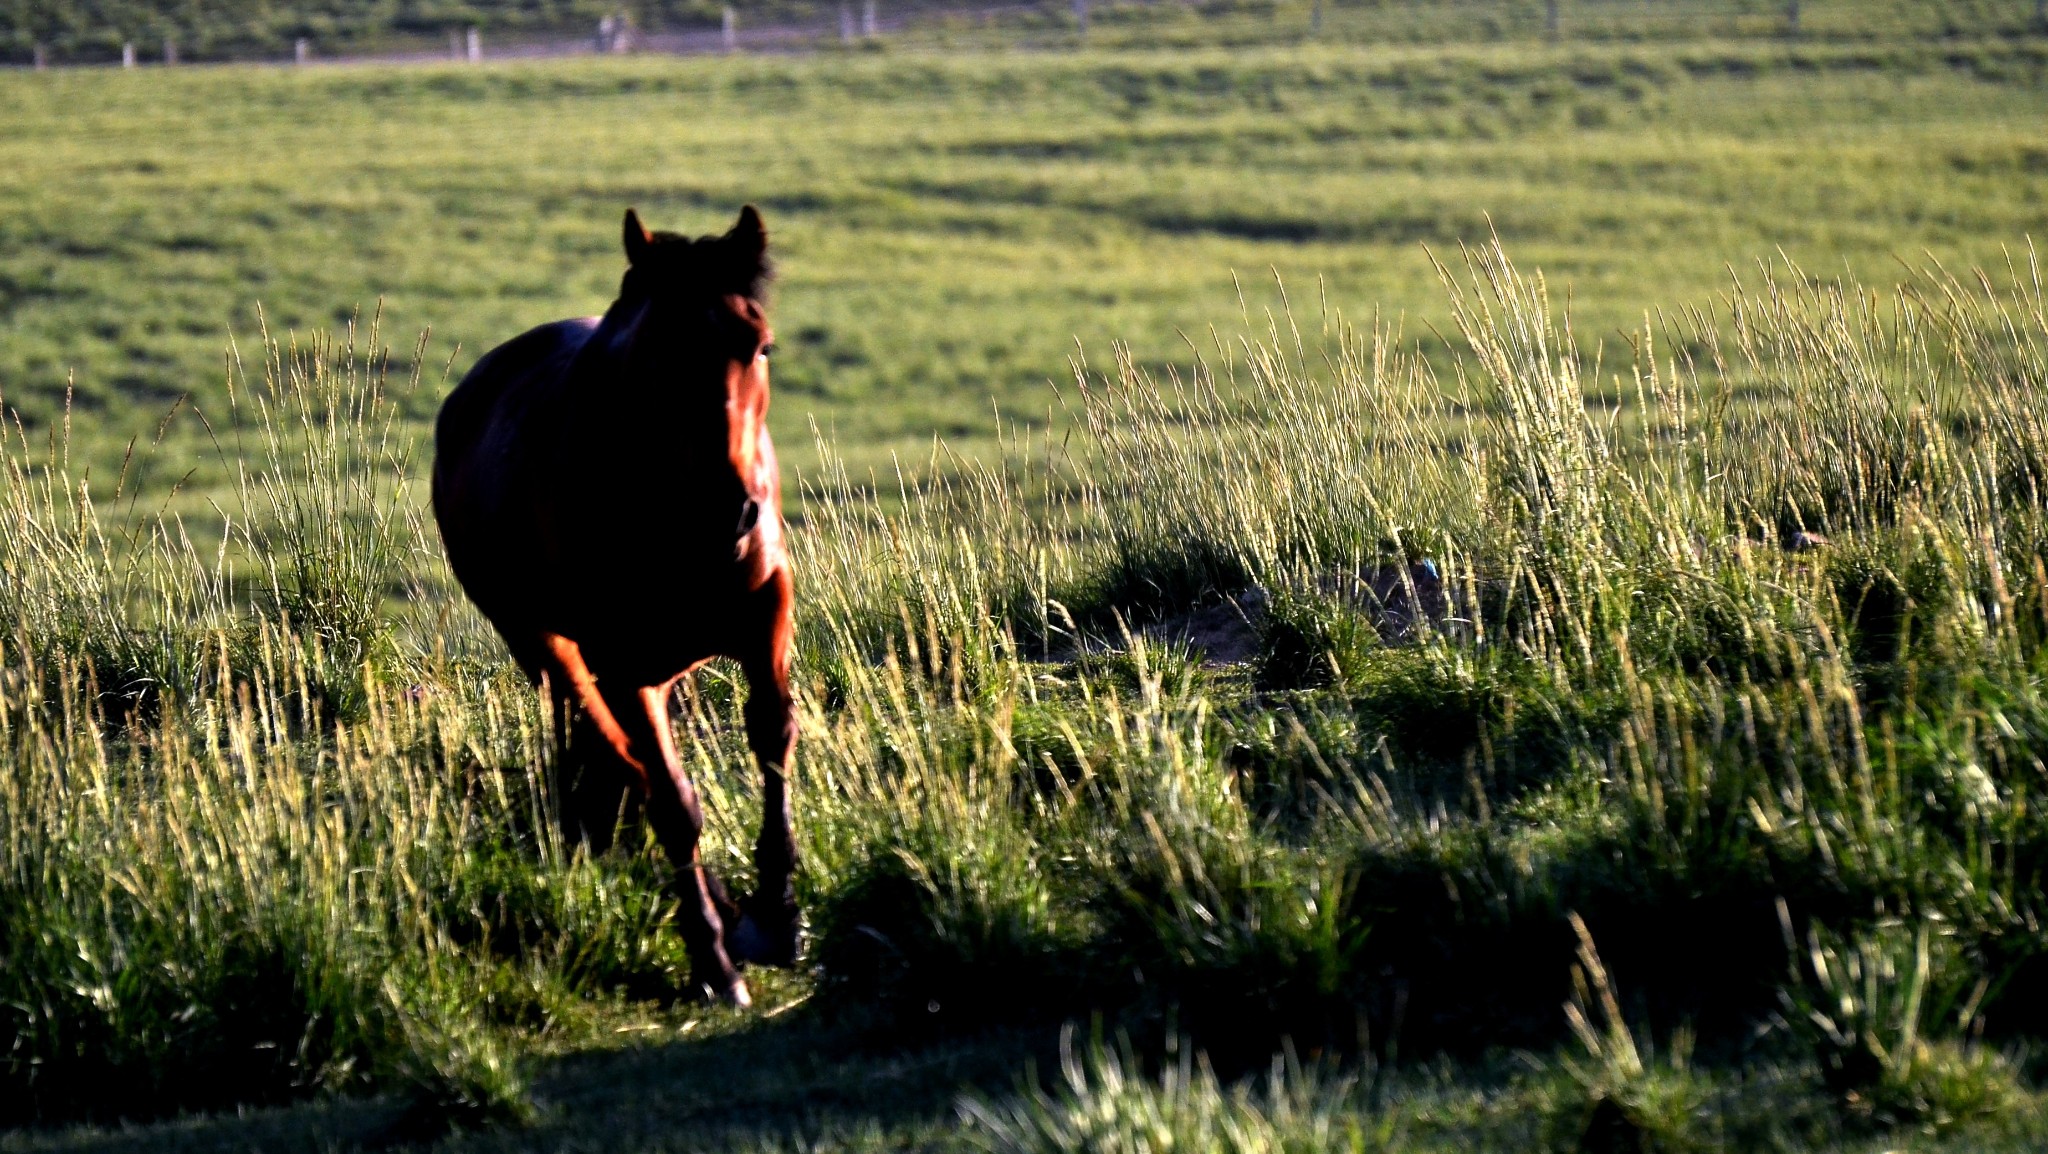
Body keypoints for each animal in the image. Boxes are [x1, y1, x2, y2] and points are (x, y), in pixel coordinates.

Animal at [434, 210, 798, 1012]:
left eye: (759, 345)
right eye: (658, 355)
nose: (732, 510)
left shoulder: (765, 610)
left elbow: (772, 736)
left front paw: (777, 915)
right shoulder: (628, 662)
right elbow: (673, 801)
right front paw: (714, 962)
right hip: (548, 647)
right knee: (629, 762)